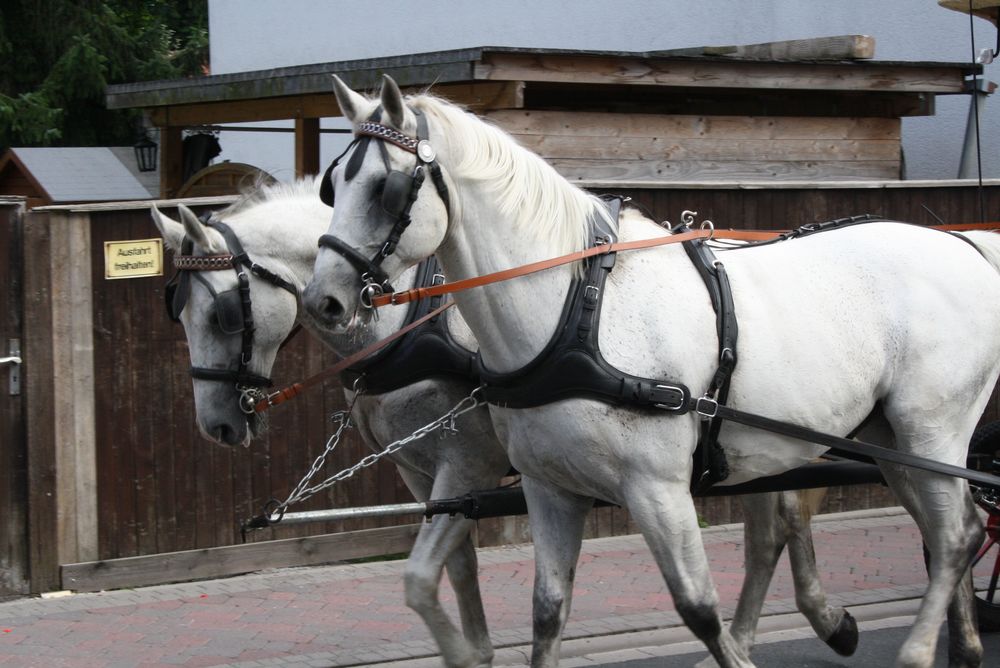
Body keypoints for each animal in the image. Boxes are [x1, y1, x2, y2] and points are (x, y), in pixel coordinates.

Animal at [154, 176, 868, 664]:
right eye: (177, 312)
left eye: (222, 314)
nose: (218, 424)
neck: (411, 317)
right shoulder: (424, 476)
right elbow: (456, 569)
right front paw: (474, 649)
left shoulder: (466, 462)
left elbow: (420, 579)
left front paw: (465, 652)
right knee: (771, 527)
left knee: (783, 522)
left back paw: (810, 622)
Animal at [306, 74, 1000, 668]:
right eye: (332, 186)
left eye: (387, 188)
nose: (324, 301)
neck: (577, 310)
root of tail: (967, 247)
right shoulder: (549, 489)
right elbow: (547, 613)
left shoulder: (657, 488)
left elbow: (699, 610)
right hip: (890, 440)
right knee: (954, 529)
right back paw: (962, 646)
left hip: (930, 430)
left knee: (954, 534)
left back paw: (917, 651)